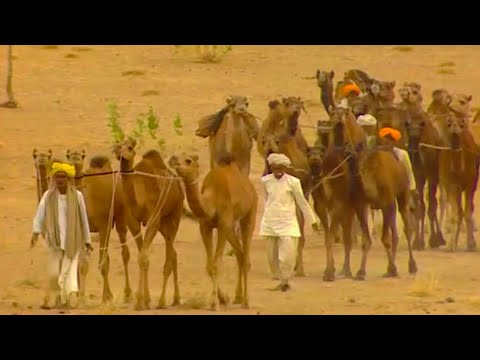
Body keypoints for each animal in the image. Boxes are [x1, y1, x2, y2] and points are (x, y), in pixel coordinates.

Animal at [65, 148, 142, 304]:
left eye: (82, 154)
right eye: (68, 154)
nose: (75, 157)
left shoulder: (104, 227)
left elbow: (104, 263)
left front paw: (107, 296)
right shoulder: (82, 230)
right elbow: (82, 264)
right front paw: (80, 297)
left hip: (122, 218)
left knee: (125, 252)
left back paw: (128, 294)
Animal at [113, 138, 185, 310]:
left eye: (129, 147)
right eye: (118, 144)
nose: (118, 151)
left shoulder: (153, 221)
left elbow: (143, 258)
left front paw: (140, 301)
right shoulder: (133, 223)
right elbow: (142, 256)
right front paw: (144, 300)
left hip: (175, 214)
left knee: (169, 255)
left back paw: (163, 301)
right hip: (163, 225)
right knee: (173, 253)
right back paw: (175, 298)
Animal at [170, 152, 258, 310]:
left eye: (188, 160)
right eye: (176, 158)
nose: (177, 165)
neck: (212, 199)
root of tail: (250, 186)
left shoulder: (223, 225)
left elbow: (216, 264)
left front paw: (214, 303)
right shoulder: (205, 227)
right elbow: (210, 266)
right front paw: (223, 299)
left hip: (250, 212)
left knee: (246, 253)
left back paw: (247, 301)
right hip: (231, 226)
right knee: (240, 253)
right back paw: (238, 297)